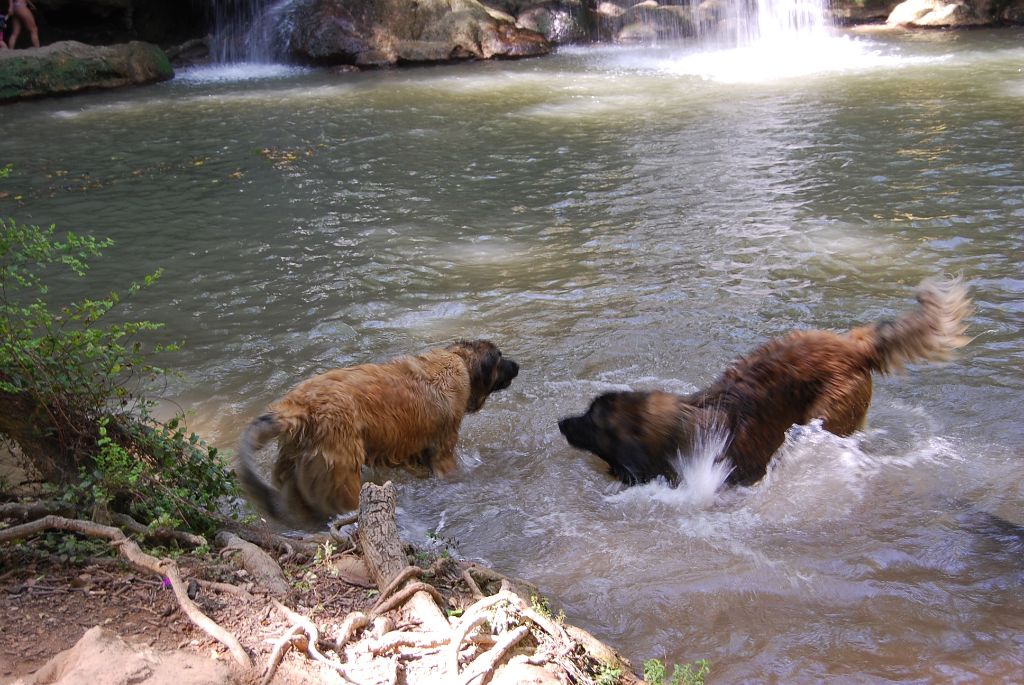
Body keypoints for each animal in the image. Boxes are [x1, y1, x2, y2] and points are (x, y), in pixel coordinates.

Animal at [237, 340, 519, 527]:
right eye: (500, 357)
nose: (517, 365)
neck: (458, 362)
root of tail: (298, 409)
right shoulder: (443, 449)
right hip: (343, 474)